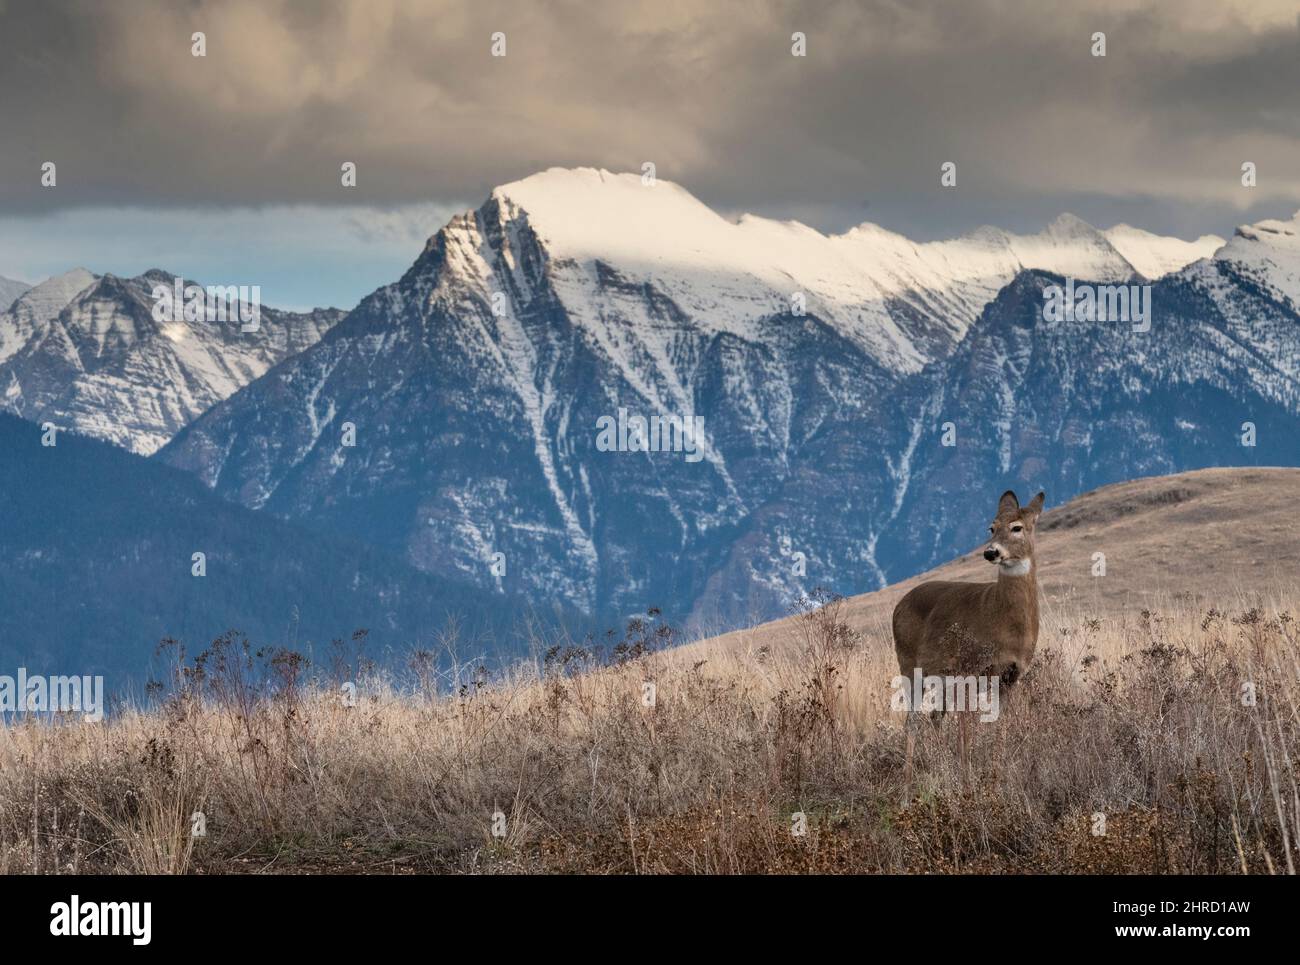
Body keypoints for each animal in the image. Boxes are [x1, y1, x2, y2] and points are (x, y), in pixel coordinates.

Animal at [892, 489, 1045, 792]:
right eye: (991, 527)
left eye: (1017, 527)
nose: (990, 552)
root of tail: (898, 605)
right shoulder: (968, 667)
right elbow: (966, 732)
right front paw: (967, 784)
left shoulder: (1010, 676)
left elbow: (999, 726)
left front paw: (996, 780)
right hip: (910, 665)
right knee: (912, 720)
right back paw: (906, 789)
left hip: (939, 675)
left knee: (935, 716)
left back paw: (939, 768)